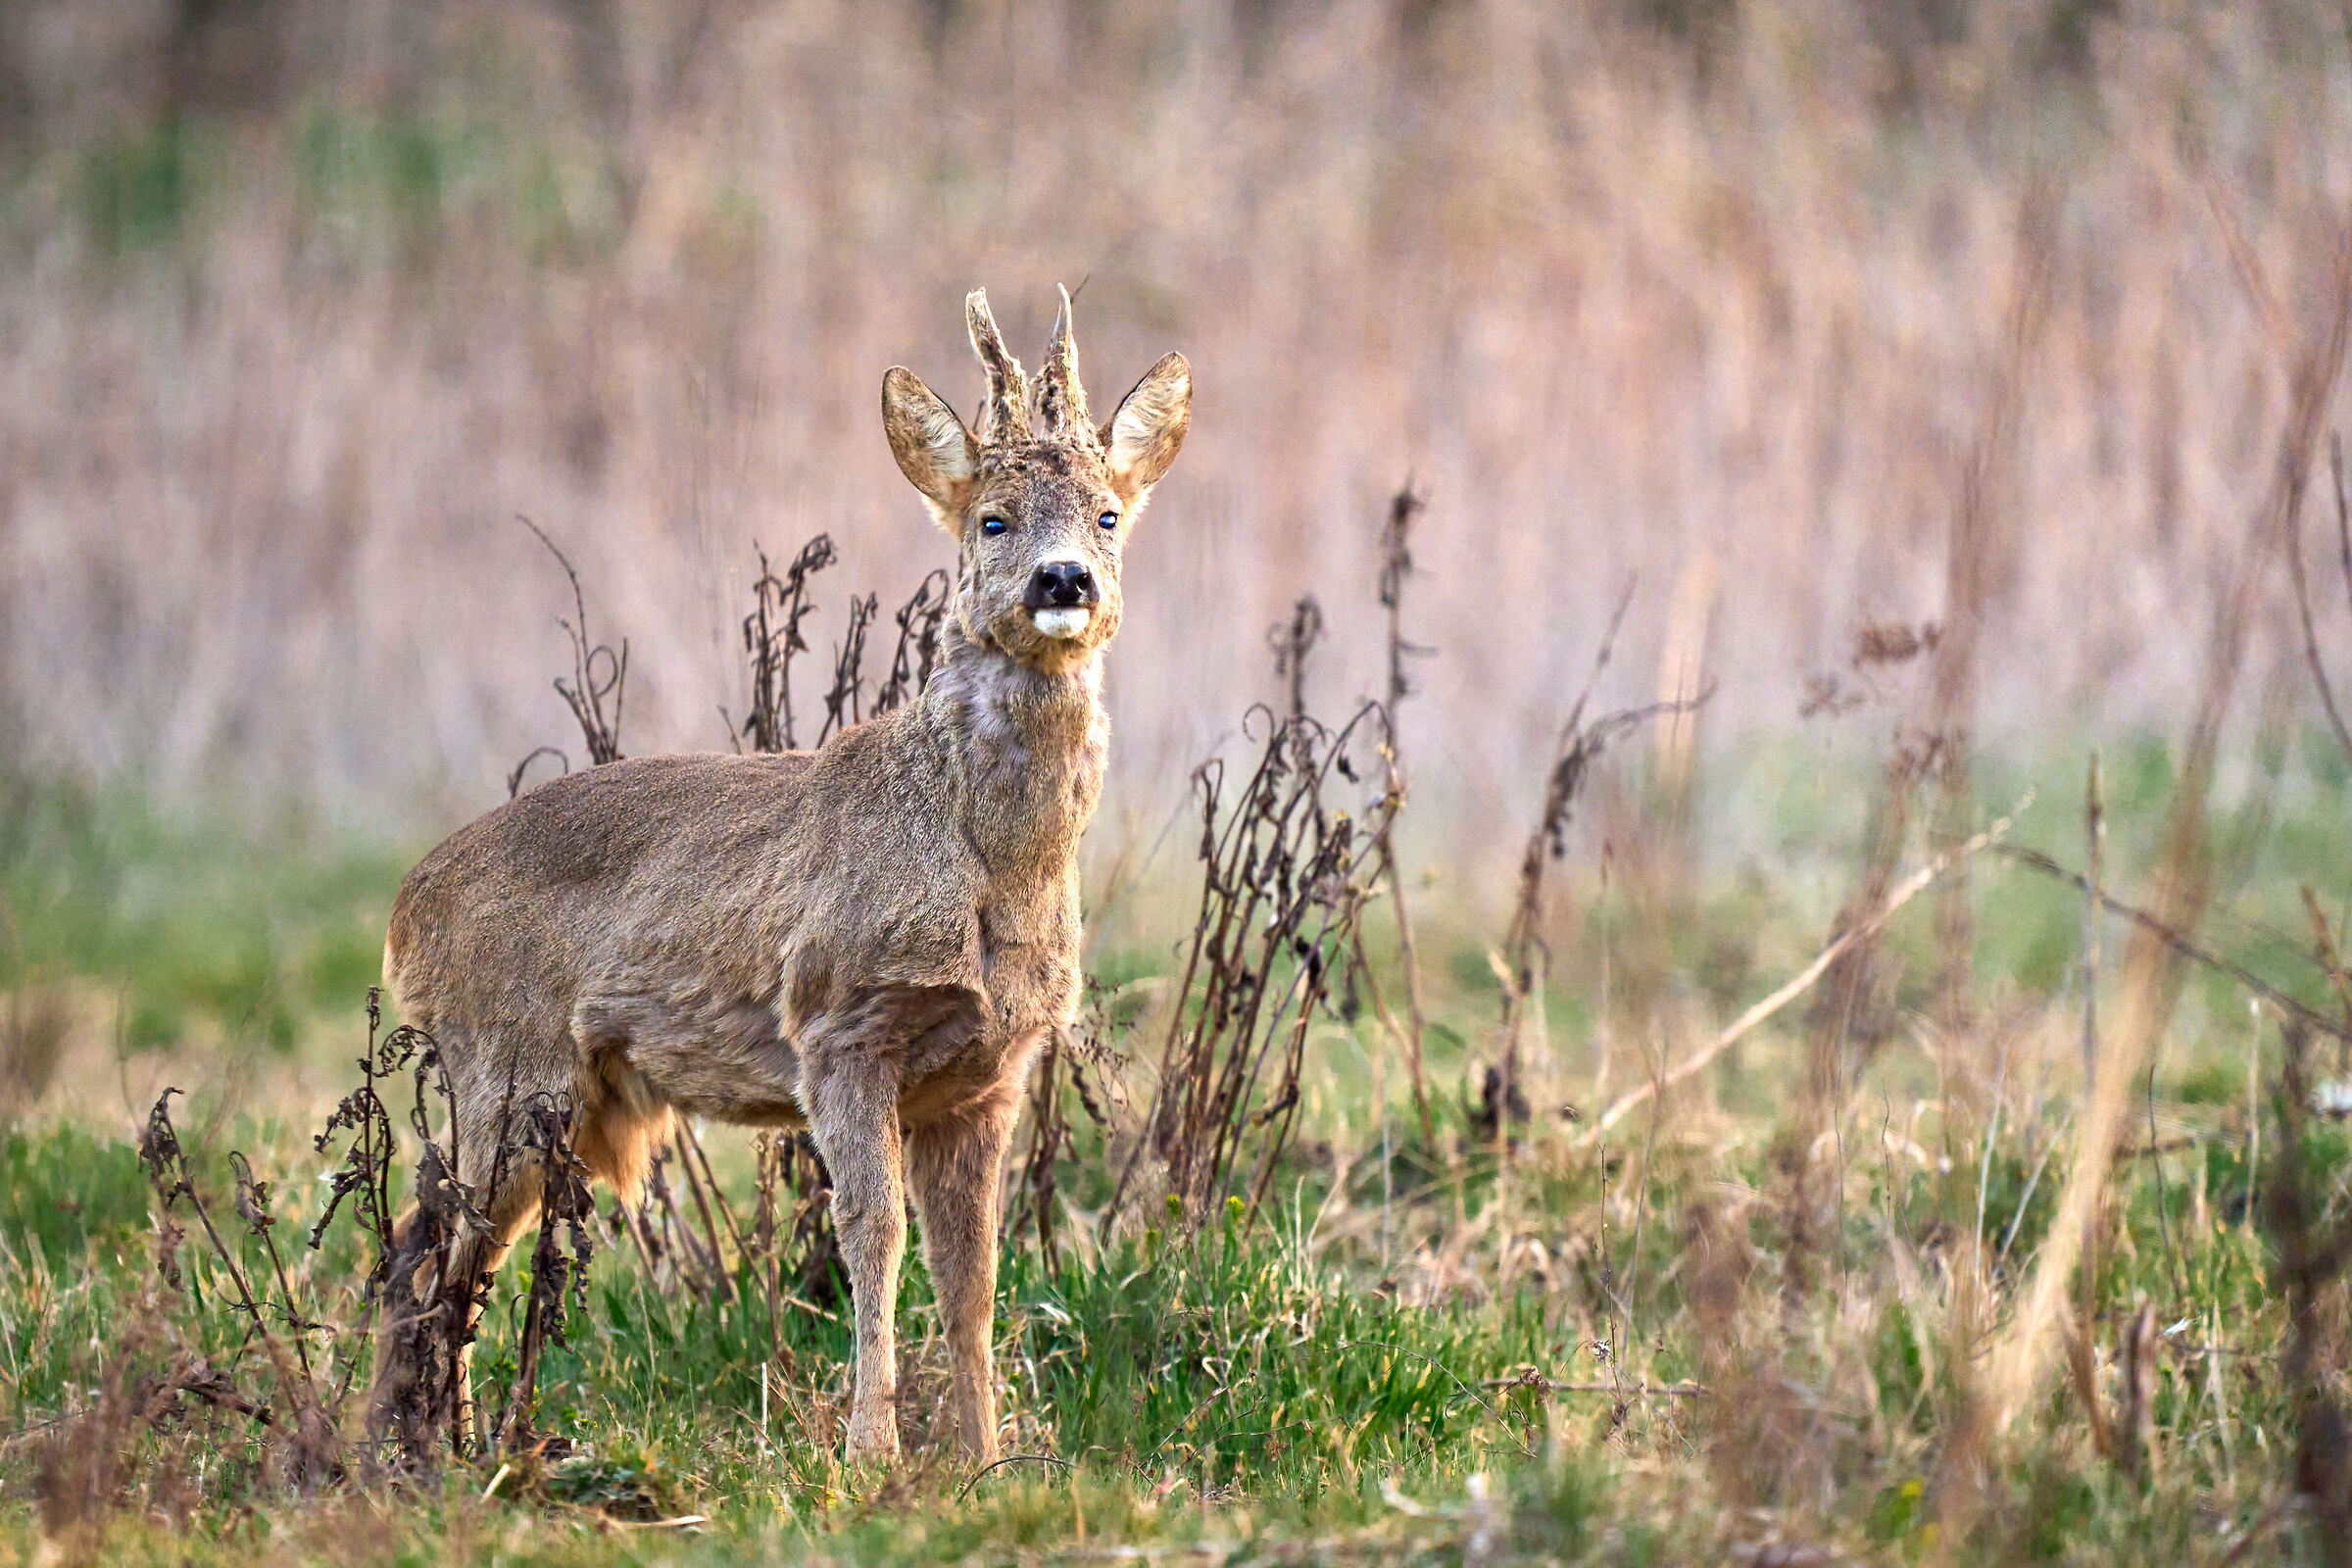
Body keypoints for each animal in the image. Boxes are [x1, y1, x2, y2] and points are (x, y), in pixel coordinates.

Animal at [372, 287, 1190, 1463]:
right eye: (992, 519)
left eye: (1109, 515)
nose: (1064, 578)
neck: (987, 861)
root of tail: (407, 910)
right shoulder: (842, 1023)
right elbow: (873, 1235)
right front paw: (870, 1451)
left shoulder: (990, 1071)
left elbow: (975, 1268)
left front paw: (986, 1457)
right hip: (508, 1058)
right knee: (433, 1243)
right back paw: (428, 1452)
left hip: (548, 1088)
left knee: (434, 1238)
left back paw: (422, 1447)